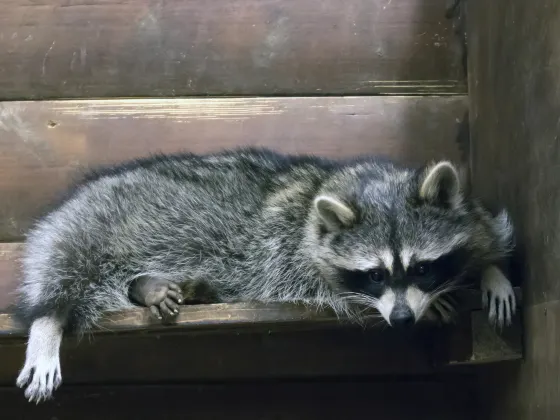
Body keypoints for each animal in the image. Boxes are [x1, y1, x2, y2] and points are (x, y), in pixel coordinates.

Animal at [14, 147, 516, 400]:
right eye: (374, 275)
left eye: (422, 267)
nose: (402, 319)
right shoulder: (290, 254)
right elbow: (325, 288)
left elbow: (481, 231)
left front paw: (487, 268)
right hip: (94, 220)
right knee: (65, 262)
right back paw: (51, 319)